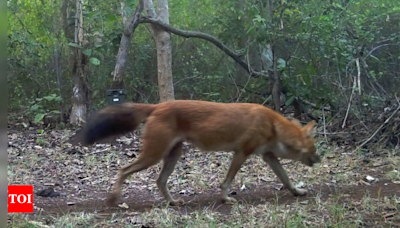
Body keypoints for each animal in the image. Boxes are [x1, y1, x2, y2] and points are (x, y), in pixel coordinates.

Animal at [74, 100, 318, 206]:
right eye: (314, 149)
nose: (320, 158)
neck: (272, 125)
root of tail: (157, 105)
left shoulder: (268, 156)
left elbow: (286, 178)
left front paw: (298, 192)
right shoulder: (241, 152)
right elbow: (227, 181)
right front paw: (225, 198)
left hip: (173, 154)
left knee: (159, 180)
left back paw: (173, 202)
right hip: (153, 155)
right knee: (123, 170)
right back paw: (114, 199)